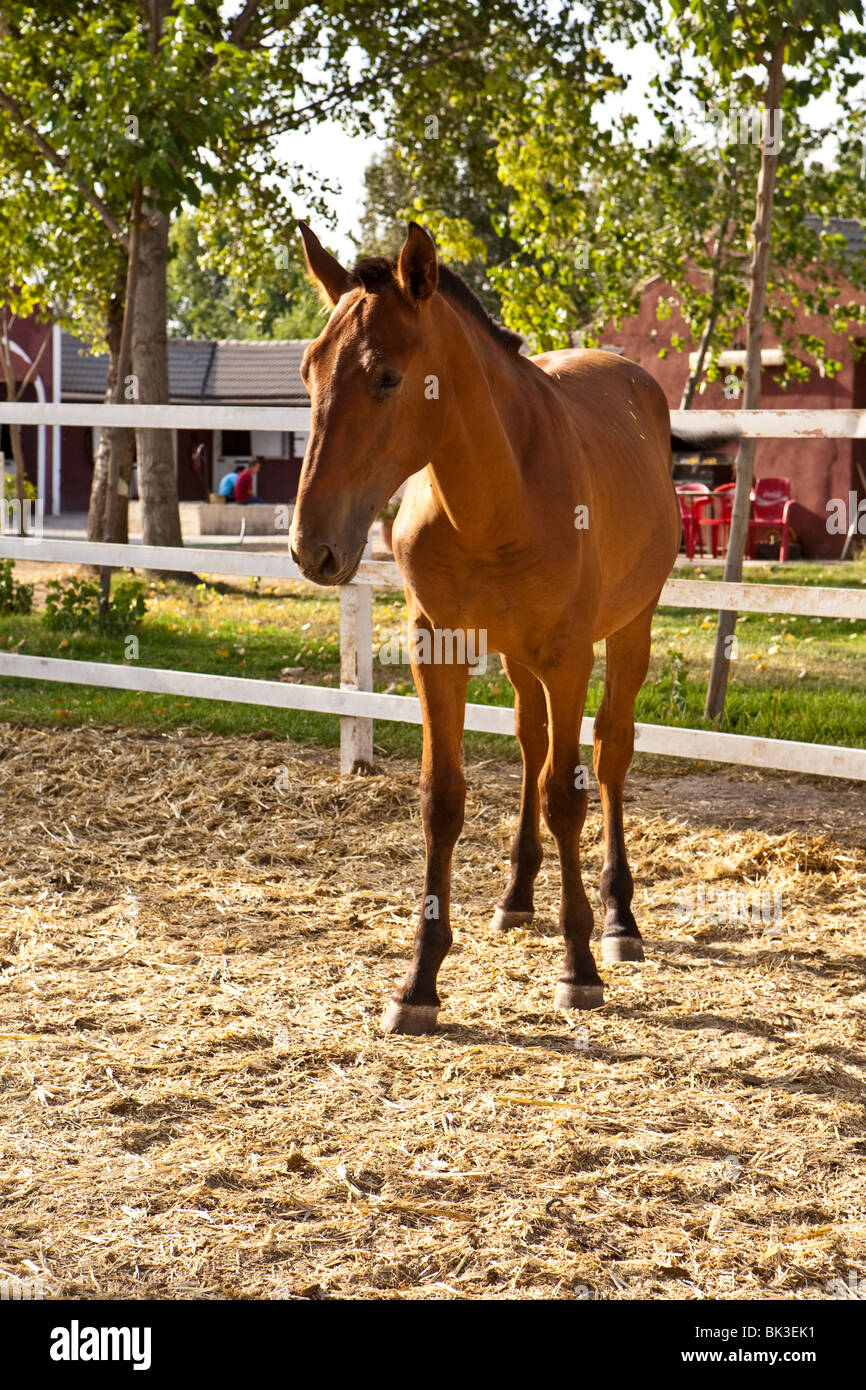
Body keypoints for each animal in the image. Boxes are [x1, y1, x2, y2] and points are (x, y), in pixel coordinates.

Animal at [290, 221, 681, 1035]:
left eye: (387, 377)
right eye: (309, 371)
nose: (314, 547)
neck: (499, 495)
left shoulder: (568, 657)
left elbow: (568, 795)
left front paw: (579, 967)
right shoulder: (438, 649)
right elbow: (443, 799)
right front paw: (419, 981)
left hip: (628, 631)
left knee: (609, 755)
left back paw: (619, 918)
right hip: (517, 658)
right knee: (533, 744)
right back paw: (516, 897)